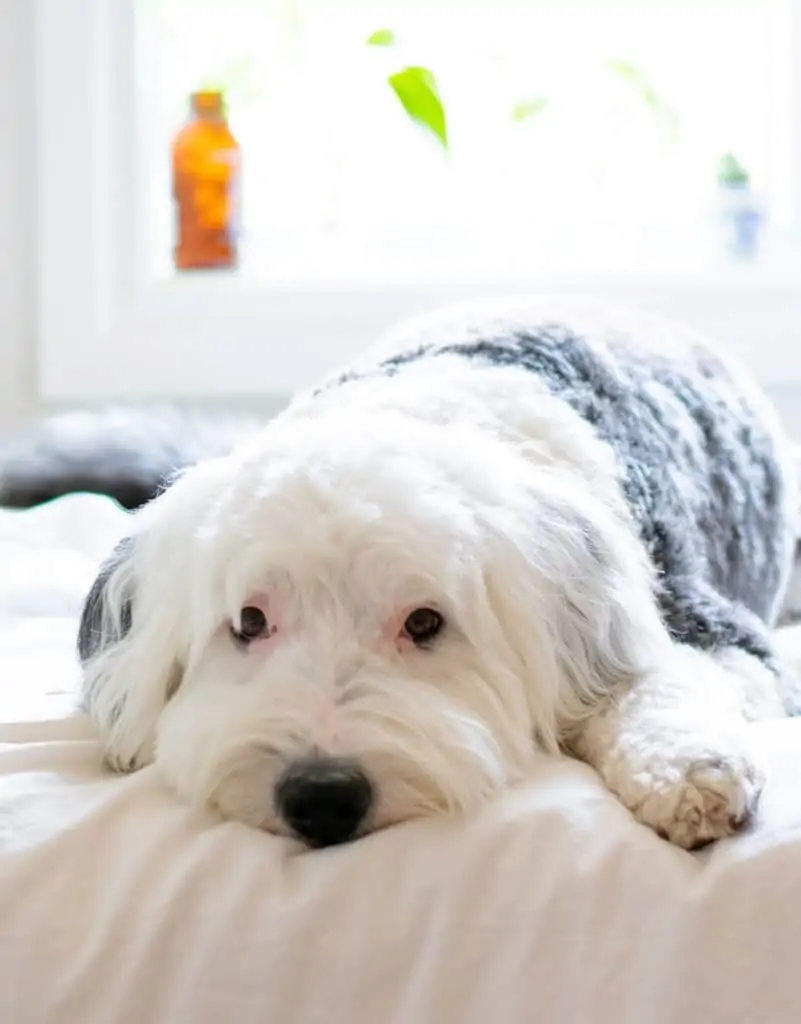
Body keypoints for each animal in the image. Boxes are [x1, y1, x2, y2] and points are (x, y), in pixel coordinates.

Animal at [3, 294, 798, 847]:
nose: (321, 797)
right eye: (249, 621)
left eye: (424, 623)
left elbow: (661, 682)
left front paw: (690, 773)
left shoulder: (708, 629)